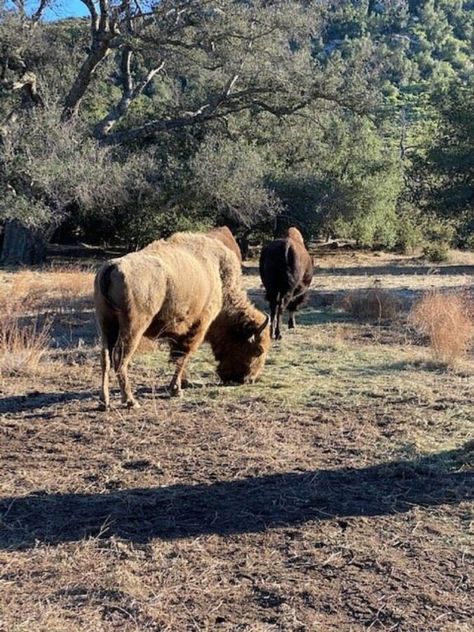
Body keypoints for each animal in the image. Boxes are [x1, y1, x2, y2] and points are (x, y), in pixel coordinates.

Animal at [94, 232, 270, 410]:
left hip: (106, 324)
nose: (248, 380)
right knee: (121, 359)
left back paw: (104, 402)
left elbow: (178, 356)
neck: (220, 280)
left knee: (105, 358)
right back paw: (130, 401)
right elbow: (183, 356)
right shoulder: (198, 327)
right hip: (134, 327)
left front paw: (180, 385)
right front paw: (176, 390)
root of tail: (112, 266)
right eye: (258, 350)